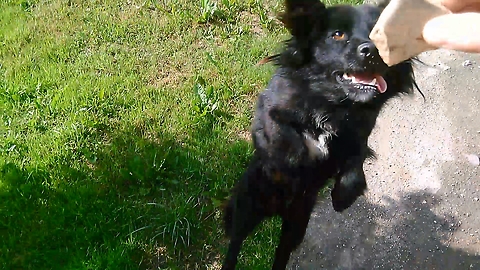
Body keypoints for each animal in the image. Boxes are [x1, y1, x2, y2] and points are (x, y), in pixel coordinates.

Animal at [223, 1, 418, 268]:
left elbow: (355, 161)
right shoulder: (270, 112)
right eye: (338, 34)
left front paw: (344, 195)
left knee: (281, 253)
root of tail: (276, 211)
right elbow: (285, 137)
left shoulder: (358, 135)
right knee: (235, 242)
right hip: (247, 206)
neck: (331, 105)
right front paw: (292, 166)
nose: (372, 51)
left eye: (379, 35)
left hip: (296, 226)